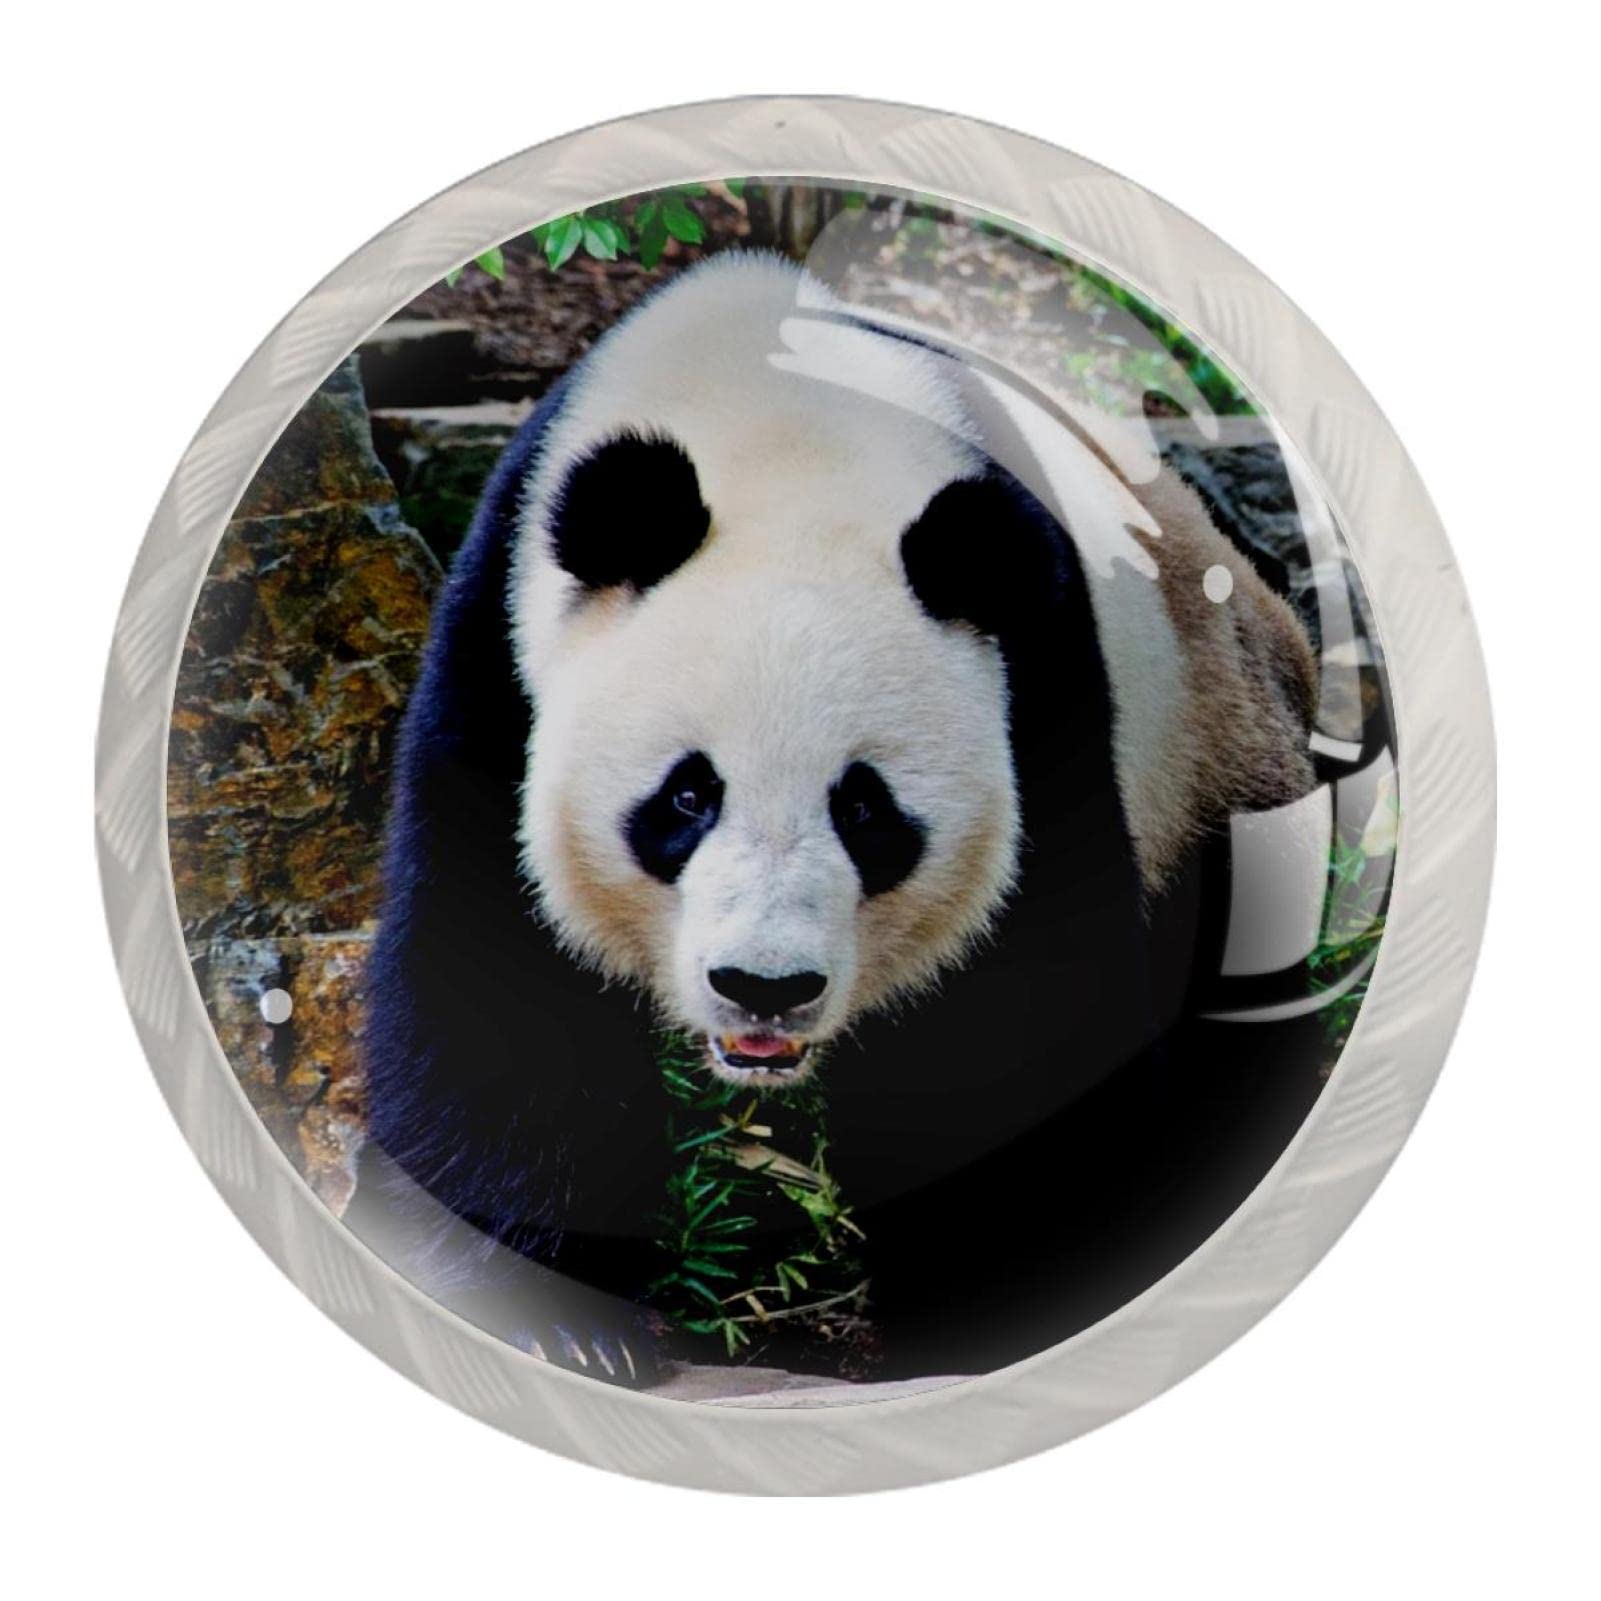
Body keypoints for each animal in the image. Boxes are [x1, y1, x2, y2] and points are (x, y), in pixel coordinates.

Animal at [358, 253, 1318, 1386]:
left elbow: (1021, 1024)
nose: (763, 988)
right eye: (687, 795)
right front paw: (551, 1317)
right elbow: (495, 981)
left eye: (864, 808)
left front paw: (1011, 1310)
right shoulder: (499, 659)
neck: (780, 433)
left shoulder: (1042, 692)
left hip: (1211, 767)